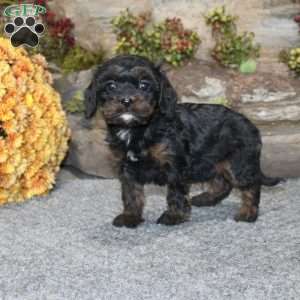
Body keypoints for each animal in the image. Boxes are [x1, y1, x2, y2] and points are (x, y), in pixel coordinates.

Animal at [84, 54, 282, 227]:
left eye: (144, 85)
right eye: (110, 85)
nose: (126, 100)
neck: (138, 129)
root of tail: (251, 125)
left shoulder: (174, 165)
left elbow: (175, 193)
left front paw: (174, 216)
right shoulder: (127, 168)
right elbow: (131, 194)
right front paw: (130, 217)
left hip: (238, 163)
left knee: (251, 186)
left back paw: (248, 213)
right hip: (213, 160)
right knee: (223, 183)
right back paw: (206, 198)